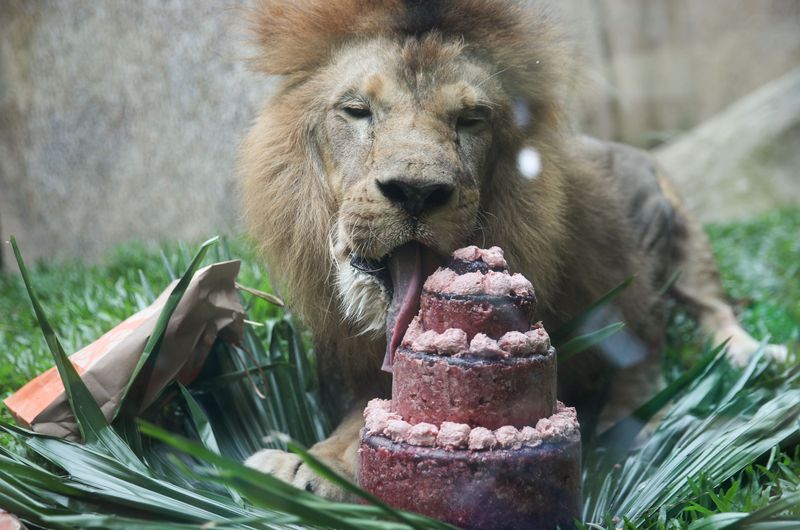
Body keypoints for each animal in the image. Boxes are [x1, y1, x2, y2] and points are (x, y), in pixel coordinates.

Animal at [238, 0, 788, 498]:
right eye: (356, 111)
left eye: (470, 120)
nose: (416, 192)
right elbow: (369, 411)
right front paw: (306, 458)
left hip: (679, 230)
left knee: (699, 316)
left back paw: (750, 358)